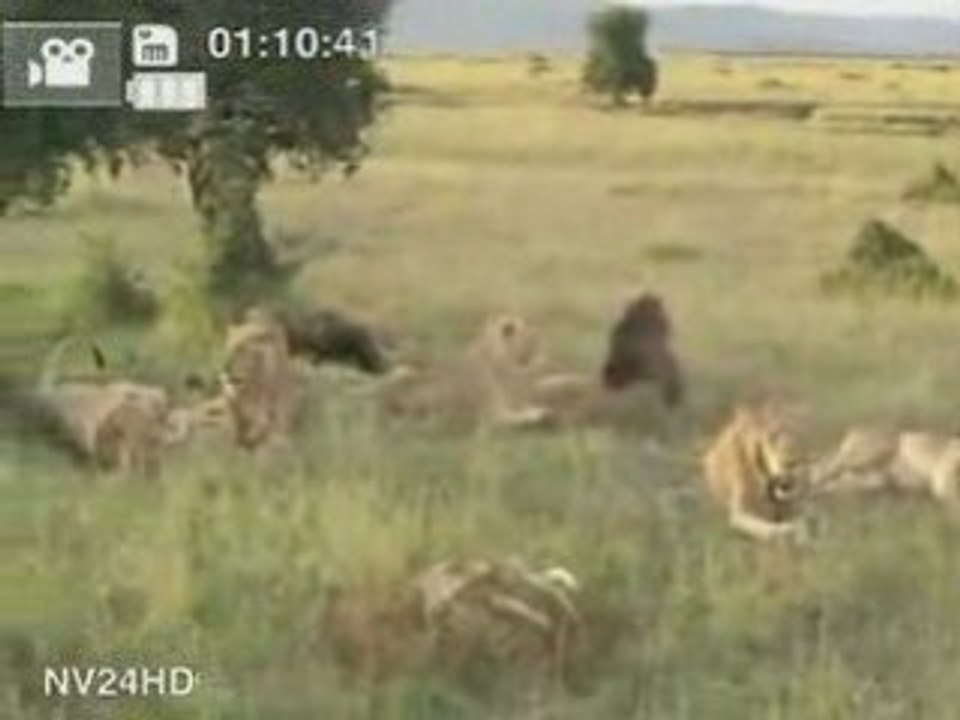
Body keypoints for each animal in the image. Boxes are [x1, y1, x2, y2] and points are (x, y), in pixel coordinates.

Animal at [703, 402, 811, 541]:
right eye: (772, 436)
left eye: (797, 435)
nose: (790, 461)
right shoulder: (741, 513)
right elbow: (767, 529)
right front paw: (789, 530)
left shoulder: (795, 503)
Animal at [812, 427, 960, 509]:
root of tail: (854, 431)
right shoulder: (942, 480)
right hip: (867, 455)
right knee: (823, 467)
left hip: (870, 479)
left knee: (835, 481)